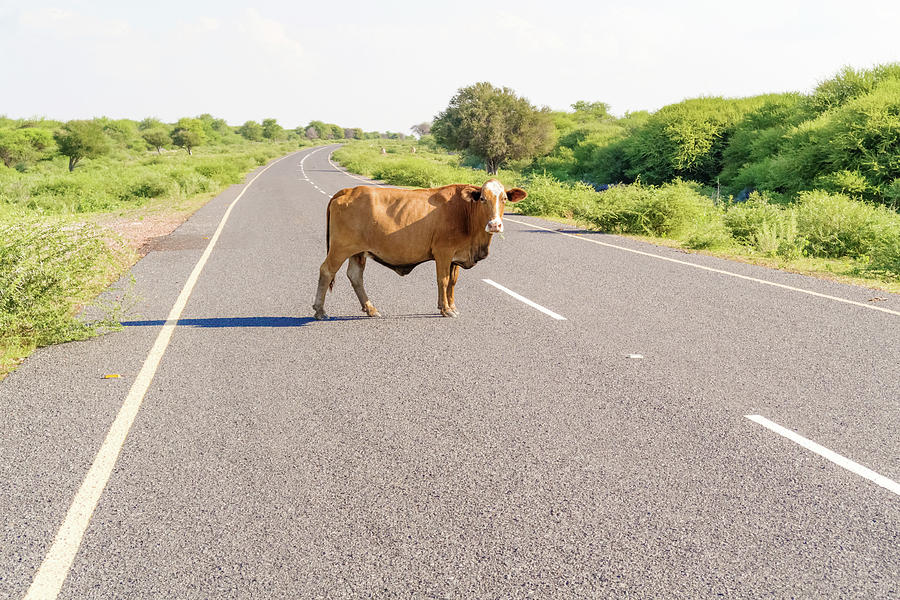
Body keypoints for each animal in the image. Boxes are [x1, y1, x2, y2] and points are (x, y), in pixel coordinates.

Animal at [314, 179, 528, 322]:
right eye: (482, 198)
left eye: (504, 199)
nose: (494, 225)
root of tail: (348, 190)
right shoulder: (443, 252)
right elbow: (443, 280)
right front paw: (446, 309)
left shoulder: (455, 257)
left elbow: (452, 283)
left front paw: (451, 306)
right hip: (341, 248)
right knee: (326, 271)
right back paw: (320, 311)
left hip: (357, 252)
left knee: (355, 276)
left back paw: (371, 309)